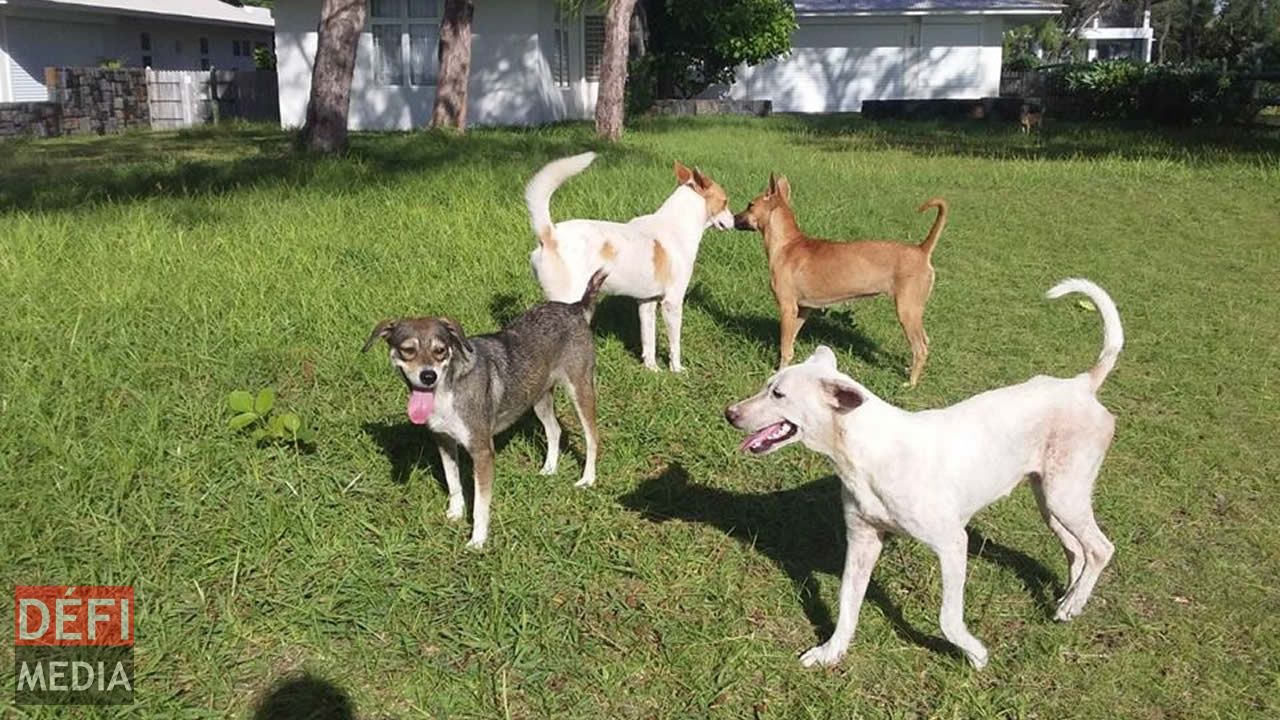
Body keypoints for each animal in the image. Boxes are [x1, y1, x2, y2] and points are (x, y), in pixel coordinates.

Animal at [363, 269, 606, 543]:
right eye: (407, 350)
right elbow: (453, 483)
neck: (447, 390)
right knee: (554, 430)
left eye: (440, 350)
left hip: (580, 390)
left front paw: (477, 540)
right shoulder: (444, 442)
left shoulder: (482, 452)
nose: (428, 376)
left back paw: (587, 479)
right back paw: (549, 469)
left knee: (592, 437)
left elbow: (480, 504)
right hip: (538, 396)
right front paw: (454, 514)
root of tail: (575, 307)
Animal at [524, 148, 737, 366]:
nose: (736, 221)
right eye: (725, 202)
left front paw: (652, 368)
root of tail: (550, 235)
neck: (676, 225)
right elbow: (675, 344)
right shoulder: (672, 303)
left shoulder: (647, 304)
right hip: (568, 300)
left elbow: (648, 341)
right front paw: (676, 368)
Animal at [727, 275, 1126, 666]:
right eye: (767, 385)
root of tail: (1082, 384)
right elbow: (846, 606)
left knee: (1100, 549)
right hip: (1050, 500)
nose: (729, 413)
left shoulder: (952, 543)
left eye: (778, 394)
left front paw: (975, 655)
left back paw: (1072, 604)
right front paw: (830, 653)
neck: (868, 452)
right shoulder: (863, 541)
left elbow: (948, 619)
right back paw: (1069, 601)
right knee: (1077, 551)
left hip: (1064, 496)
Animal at [732, 174, 952, 384]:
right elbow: (791, 343)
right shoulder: (802, 310)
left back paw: (910, 383)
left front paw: (780, 372)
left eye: (750, 205)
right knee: (925, 341)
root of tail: (922, 251)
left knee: (920, 347)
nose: (733, 218)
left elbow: (785, 347)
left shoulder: (788, 308)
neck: (787, 244)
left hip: (907, 310)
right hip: (914, 311)